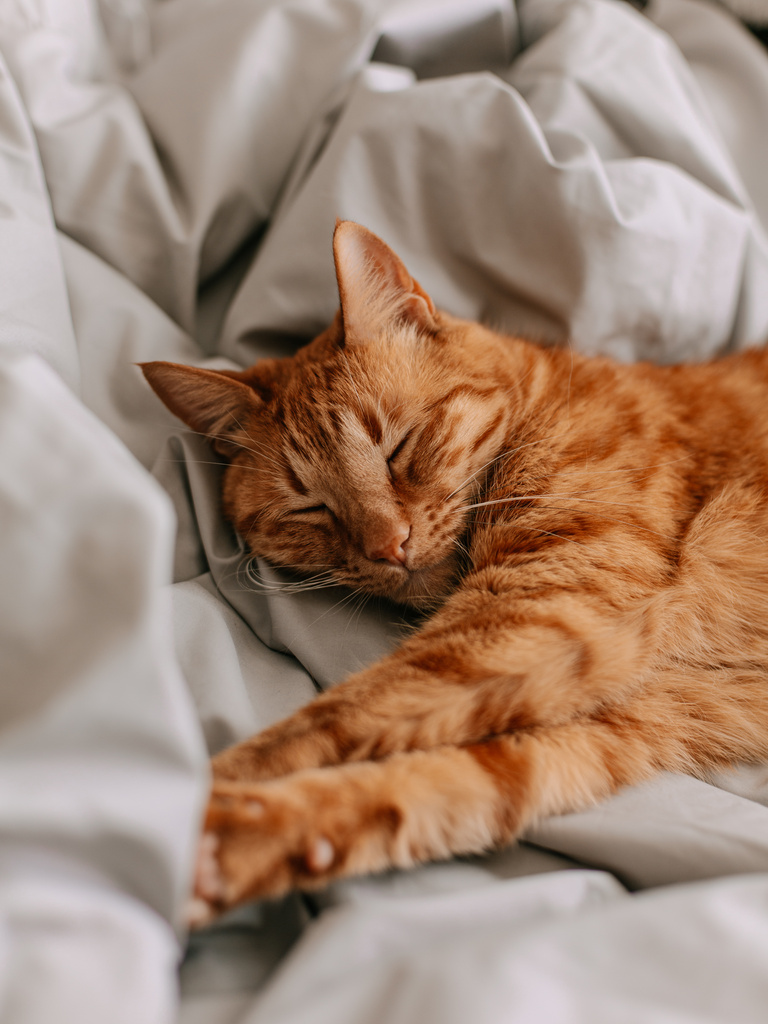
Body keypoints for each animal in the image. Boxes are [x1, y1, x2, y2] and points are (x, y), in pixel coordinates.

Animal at [141, 220, 768, 925]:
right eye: (310, 506)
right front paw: (228, 844)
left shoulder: (540, 602)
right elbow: (423, 784)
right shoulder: (619, 718)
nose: (388, 546)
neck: (543, 400)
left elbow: (327, 721)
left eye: (398, 447)